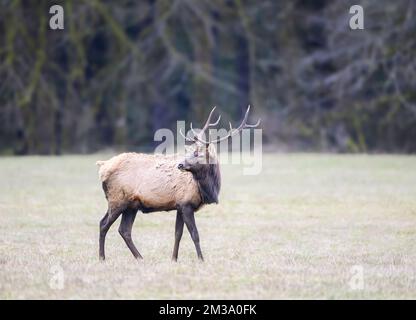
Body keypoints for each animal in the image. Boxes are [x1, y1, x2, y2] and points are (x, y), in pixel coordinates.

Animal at [97, 106, 260, 262]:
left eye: (197, 153)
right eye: (190, 151)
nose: (180, 164)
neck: (207, 189)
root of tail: (103, 166)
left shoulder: (179, 206)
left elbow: (178, 233)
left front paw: (174, 259)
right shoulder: (186, 204)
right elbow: (194, 234)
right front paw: (201, 259)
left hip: (131, 205)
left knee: (124, 230)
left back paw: (140, 257)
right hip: (117, 199)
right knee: (103, 224)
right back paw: (102, 257)